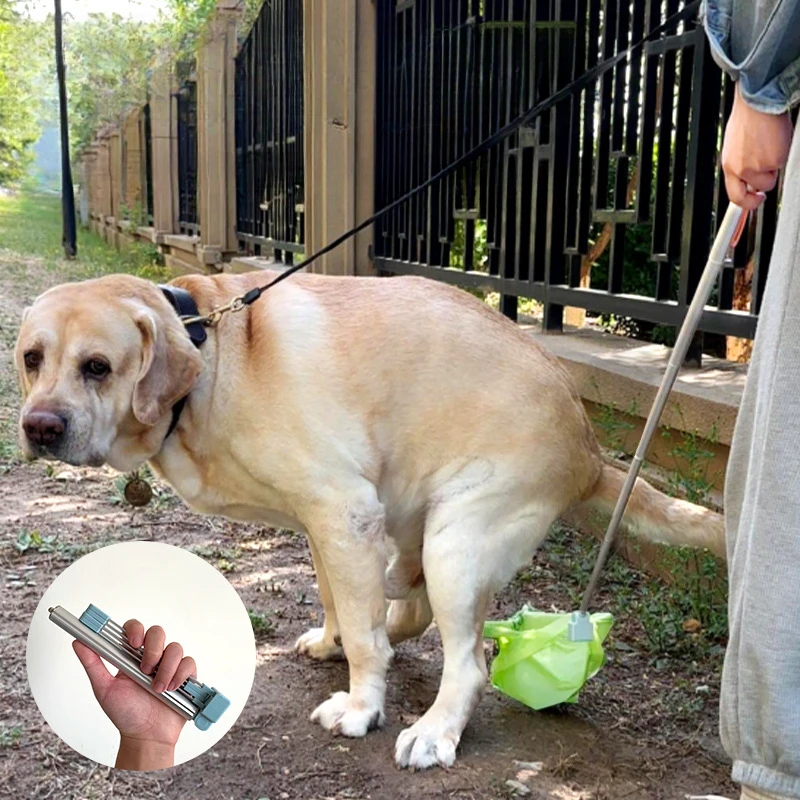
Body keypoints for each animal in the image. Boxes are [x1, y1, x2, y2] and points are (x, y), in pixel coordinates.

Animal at [14, 274, 724, 768]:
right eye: (30, 358)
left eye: (98, 367)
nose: (39, 427)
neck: (208, 356)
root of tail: (592, 450)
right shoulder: (328, 524)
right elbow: (340, 603)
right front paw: (333, 642)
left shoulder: (342, 508)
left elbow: (363, 633)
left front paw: (361, 706)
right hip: (416, 518)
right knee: (411, 606)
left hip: (455, 539)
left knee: (467, 661)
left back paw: (434, 732)